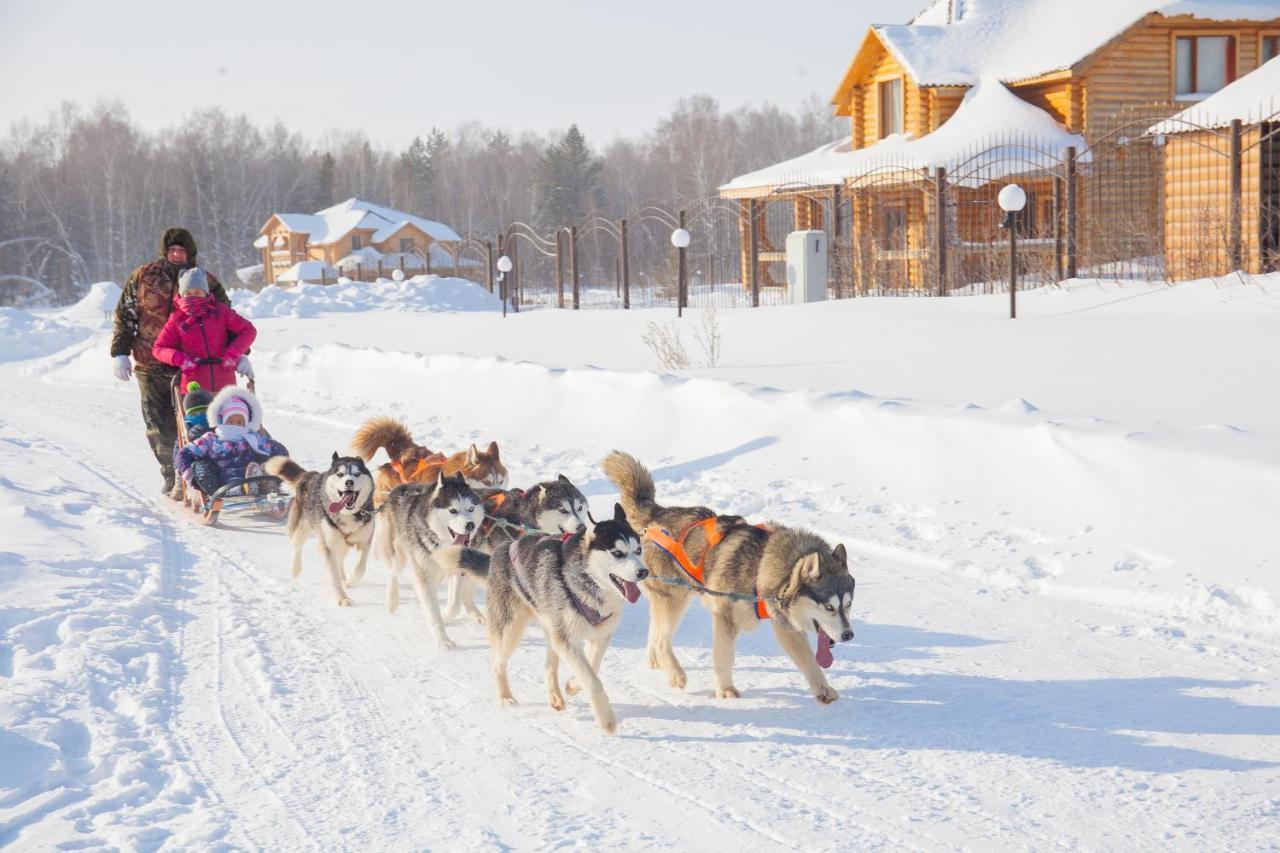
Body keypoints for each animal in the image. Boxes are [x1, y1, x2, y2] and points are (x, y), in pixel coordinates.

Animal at [263, 450, 373, 604]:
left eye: (357, 474)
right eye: (340, 474)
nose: (349, 482)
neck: (347, 514)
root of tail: (310, 475)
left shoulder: (364, 541)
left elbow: (360, 568)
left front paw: (351, 580)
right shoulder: (327, 545)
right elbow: (333, 575)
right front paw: (342, 597)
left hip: (341, 544)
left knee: (339, 560)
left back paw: (344, 578)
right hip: (302, 529)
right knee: (297, 546)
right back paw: (295, 569)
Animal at [378, 468, 483, 648]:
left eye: (470, 508)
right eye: (452, 510)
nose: (470, 525)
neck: (442, 544)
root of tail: (399, 488)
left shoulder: (458, 570)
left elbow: (454, 604)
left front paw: (446, 616)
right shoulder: (423, 576)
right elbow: (432, 611)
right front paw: (443, 641)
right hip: (399, 555)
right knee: (393, 573)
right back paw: (392, 601)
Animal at [435, 502, 650, 732]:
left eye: (638, 550)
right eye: (618, 553)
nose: (643, 572)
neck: (586, 582)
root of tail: (500, 552)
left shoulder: (599, 636)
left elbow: (592, 667)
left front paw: (572, 685)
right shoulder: (567, 640)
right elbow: (591, 680)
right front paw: (606, 719)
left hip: (550, 627)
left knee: (548, 665)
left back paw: (555, 696)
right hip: (510, 630)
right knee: (497, 662)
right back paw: (505, 697)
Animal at [601, 448, 860, 701]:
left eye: (848, 605)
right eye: (829, 607)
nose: (849, 635)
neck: (761, 567)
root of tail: (657, 514)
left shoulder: (785, 625)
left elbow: (809, 662)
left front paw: (822, 689)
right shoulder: (725, 617)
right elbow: (724, 658)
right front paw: (725, 690)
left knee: (656, 633)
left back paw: (657, 661)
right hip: (675, 599)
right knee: (663, 641)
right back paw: (675, 673)